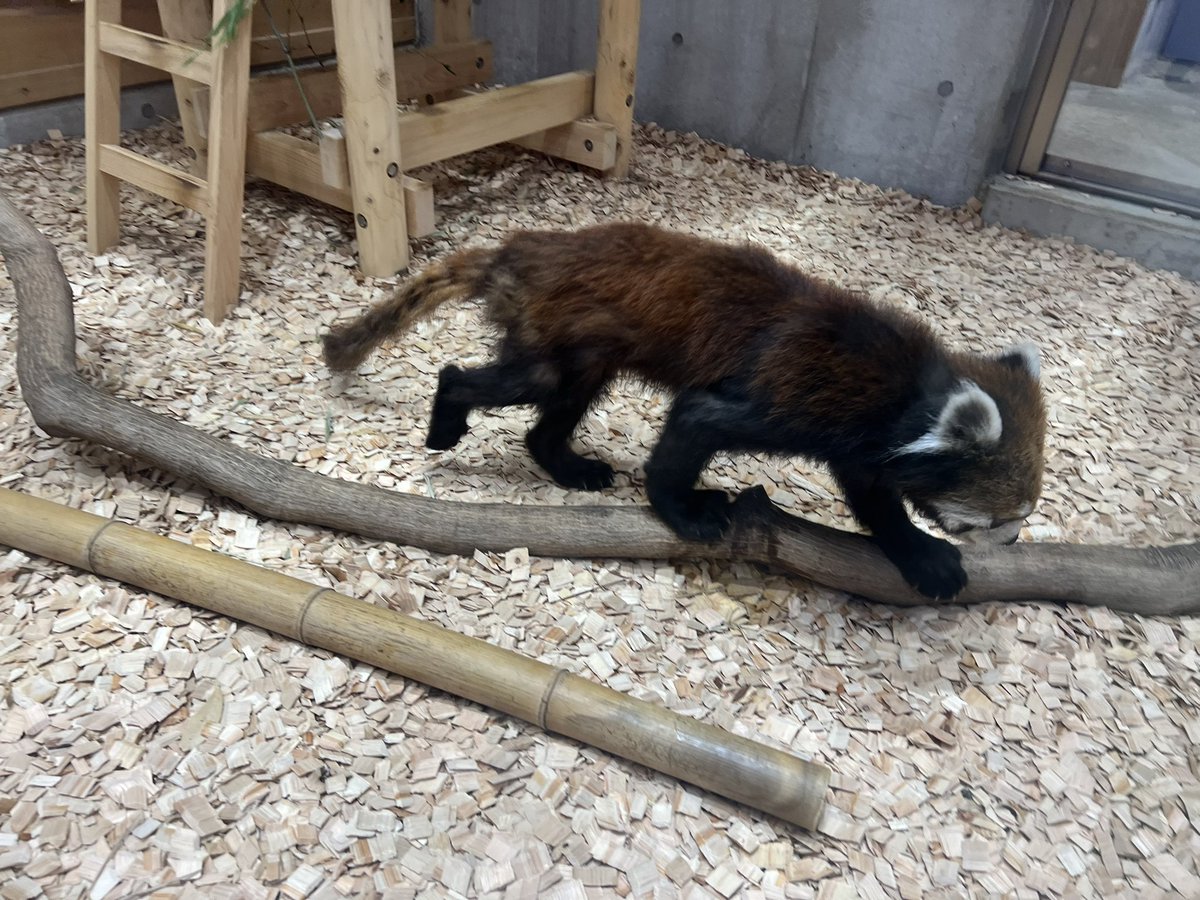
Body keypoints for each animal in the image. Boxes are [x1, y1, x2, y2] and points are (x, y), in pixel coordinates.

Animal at [324, 223, 1046, 602]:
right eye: (999, 519)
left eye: (1022, 516)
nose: (1014, 542)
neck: (899, 390)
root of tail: (525, 248)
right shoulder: (790, 398)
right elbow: (692, 427)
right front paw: (687, 510)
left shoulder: (859, 446)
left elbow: (877, 504)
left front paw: (918, 553)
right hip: (553, 338)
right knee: (504, 381)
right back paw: (447, 415)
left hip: (586, 352)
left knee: (556, 410)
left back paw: (567, 465)